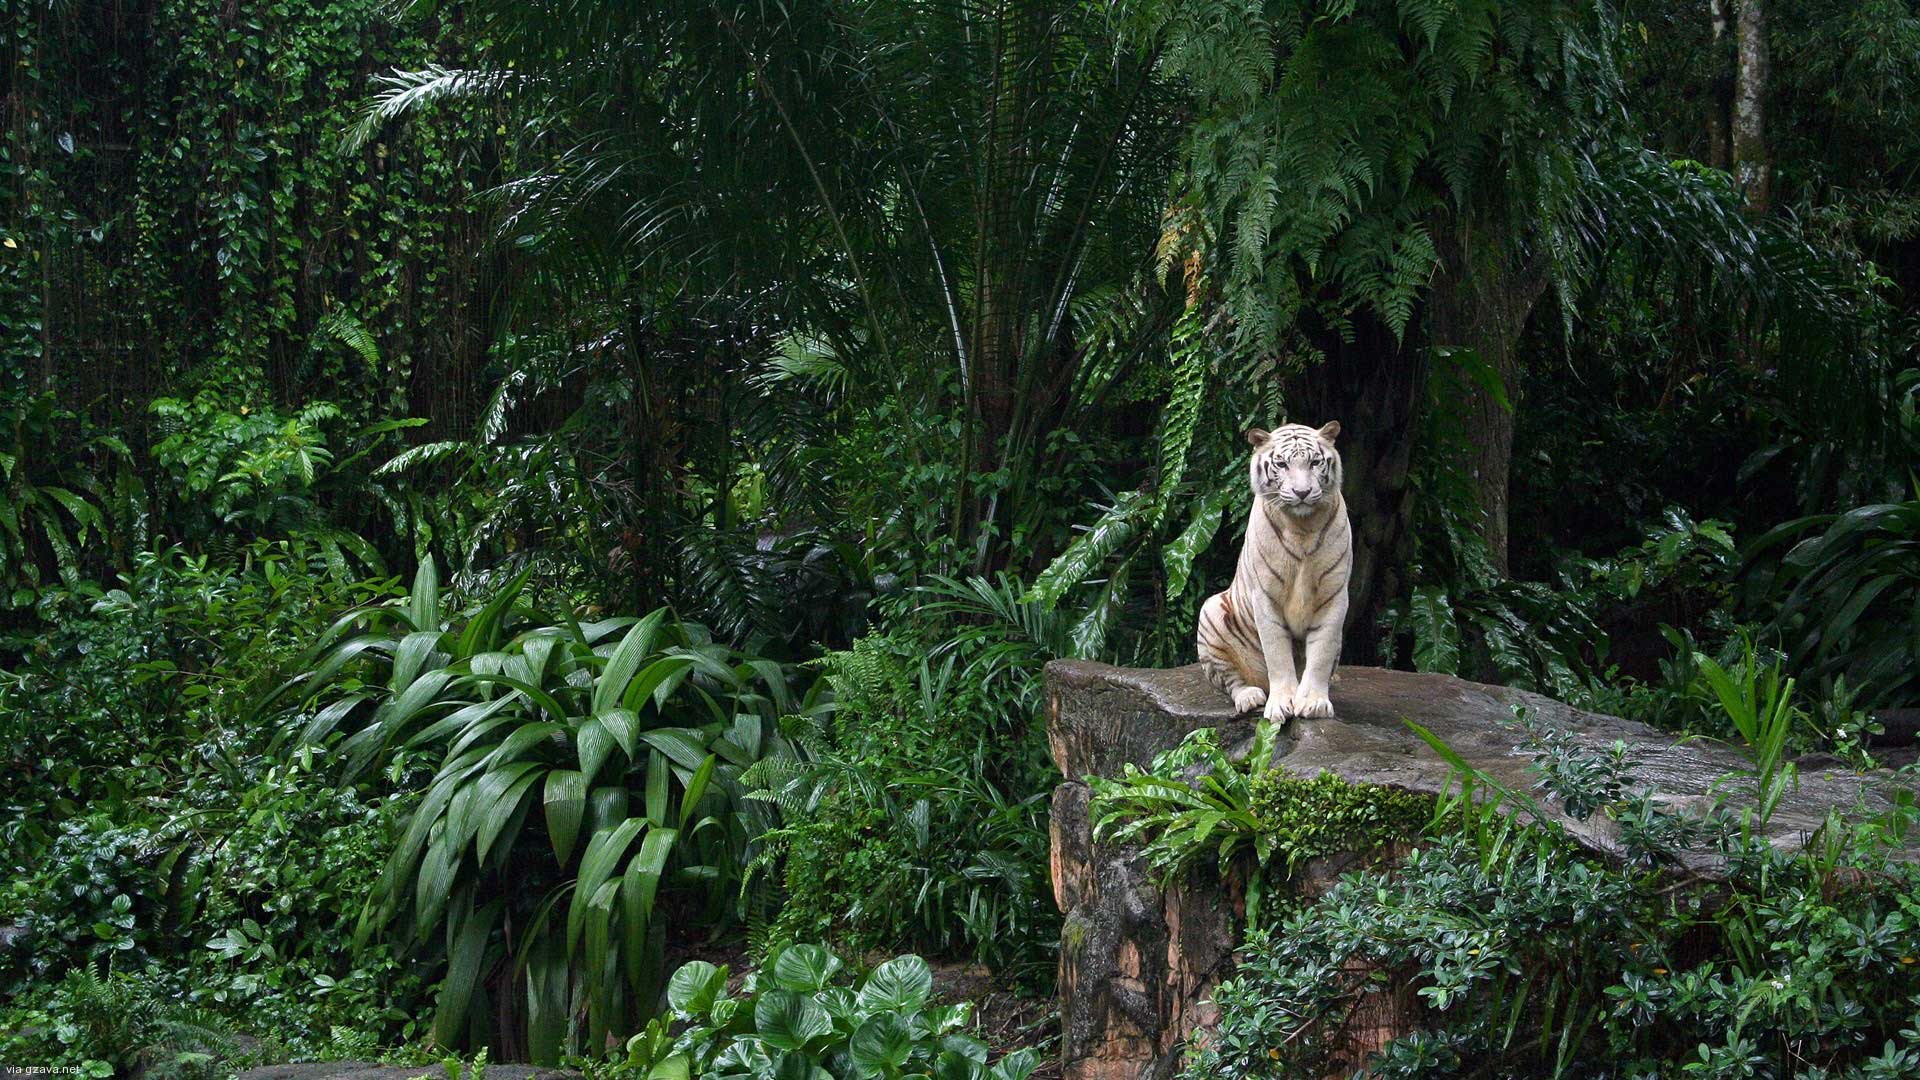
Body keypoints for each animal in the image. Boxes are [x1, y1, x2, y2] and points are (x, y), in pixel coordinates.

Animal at [1196, 421, 1351, 722]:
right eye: (1281, 464)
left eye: (1315, 462)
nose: (1302, 493)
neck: (1303, 527)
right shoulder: (1265, 596)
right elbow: (1277, 654)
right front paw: (1282, 704)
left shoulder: (1334, 595)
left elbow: (1322, 651)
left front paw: (1314, 703)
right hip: (1210, 612)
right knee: (1231, 680)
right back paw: (1249, 696)